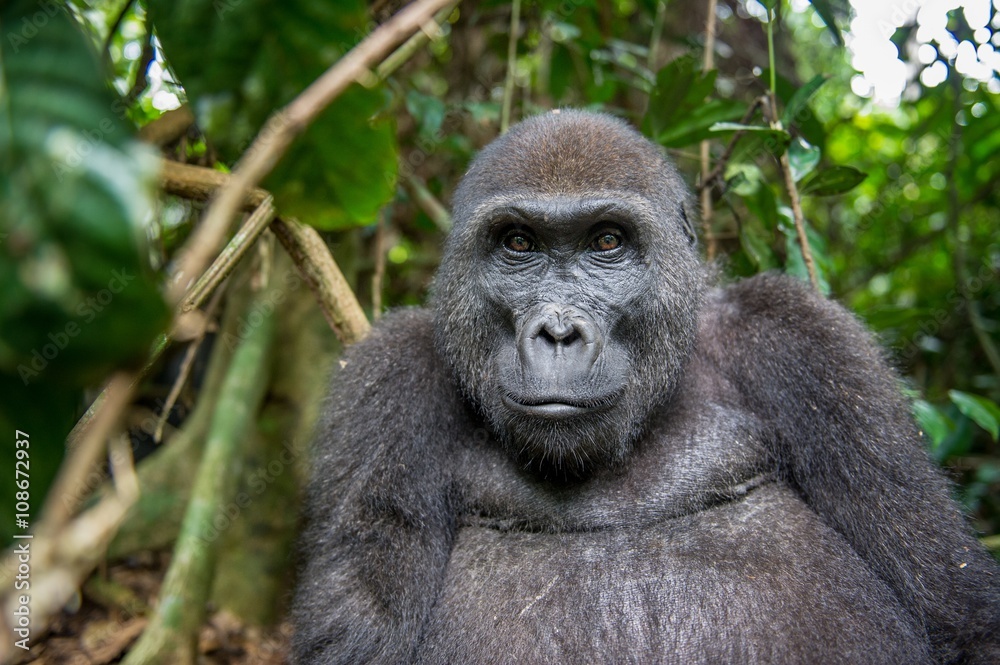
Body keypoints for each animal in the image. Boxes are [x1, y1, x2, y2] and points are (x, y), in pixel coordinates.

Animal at [292, 110, 1000, 664]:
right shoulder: (388, 379)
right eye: (518, 243)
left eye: (607, 241)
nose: (557, 332)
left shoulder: (805, 339)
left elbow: (957, 611)